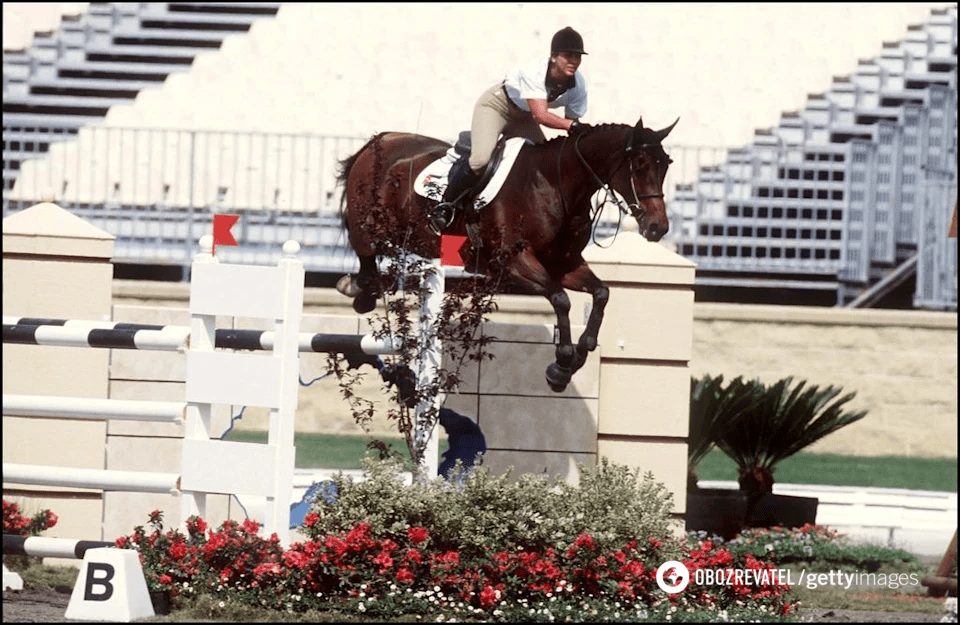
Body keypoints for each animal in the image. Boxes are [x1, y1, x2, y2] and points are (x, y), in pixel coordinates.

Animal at [334, 117, 680, 390]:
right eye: (639, 166)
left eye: (666, 165)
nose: (657, 228)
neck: (556, 184)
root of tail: (380, 140)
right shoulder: (512, 263)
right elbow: (560, 299)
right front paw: (561, 365)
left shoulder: (564, 264)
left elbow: (601, 293)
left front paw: (580, 354)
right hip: (372, 225)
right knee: (366, 253)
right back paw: (359, 290)